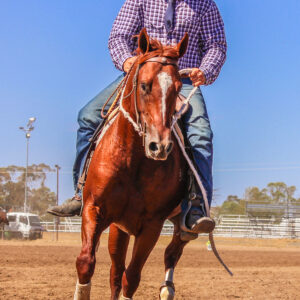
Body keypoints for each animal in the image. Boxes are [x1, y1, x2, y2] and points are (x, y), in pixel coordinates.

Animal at [74, 29, 192, 300]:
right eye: (145, 85)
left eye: (179, 87)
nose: (160, 146)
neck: (132, 163)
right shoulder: (94, 209)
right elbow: (86, 262)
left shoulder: (152, 225)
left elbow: (133, 278)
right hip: (119, 228)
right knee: (115, 273)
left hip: (180, 225)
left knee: (172, 254)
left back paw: (167, 289)